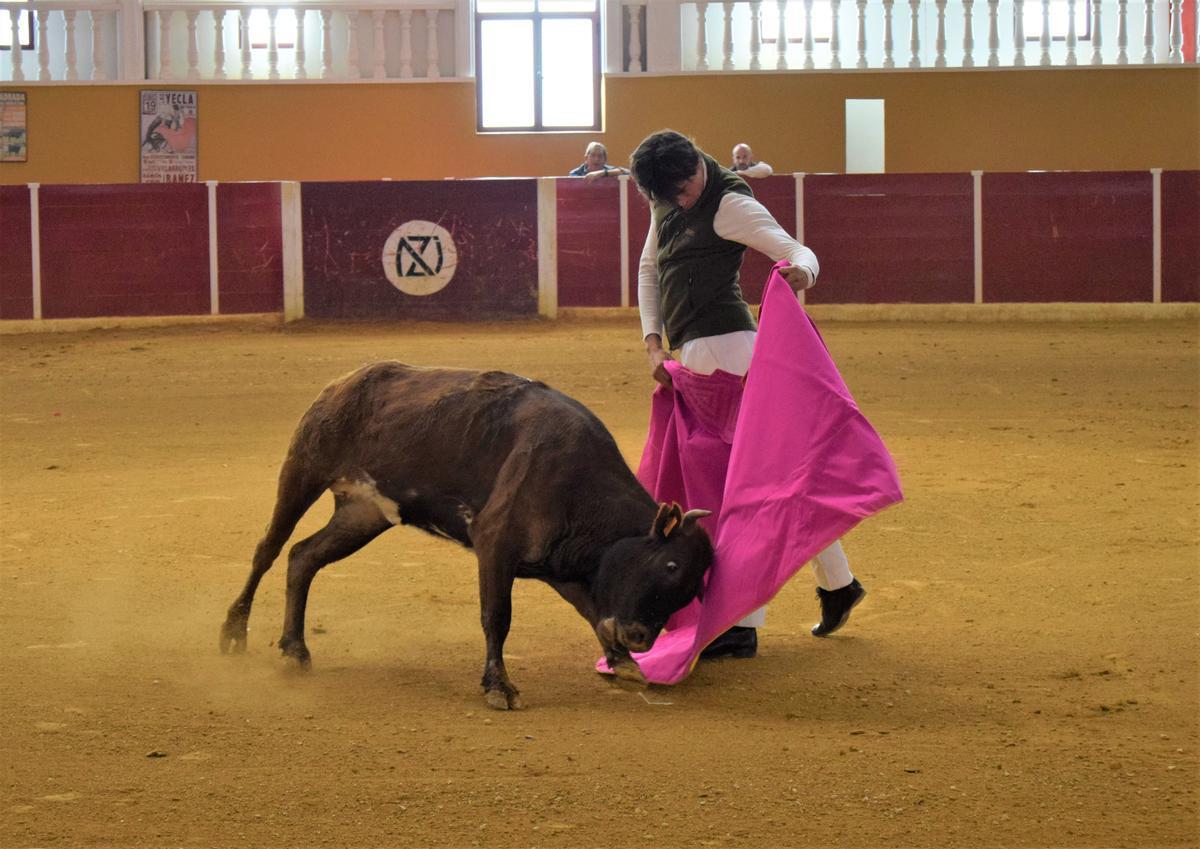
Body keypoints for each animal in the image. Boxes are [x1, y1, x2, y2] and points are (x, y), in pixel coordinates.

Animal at [220, 362, 710, 705]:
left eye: (691, 591)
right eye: (669, 564)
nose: (640, 638)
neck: (579, 485)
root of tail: (343, 383)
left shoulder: (556, 565)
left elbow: (591, 610)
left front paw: (624, 665)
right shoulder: (496, 545)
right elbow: (497, 616)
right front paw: (499, 687)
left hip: (364, 513)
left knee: (304, 556)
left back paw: (294, 649)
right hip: (303, 470)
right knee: (269, 549)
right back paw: (234, 631)